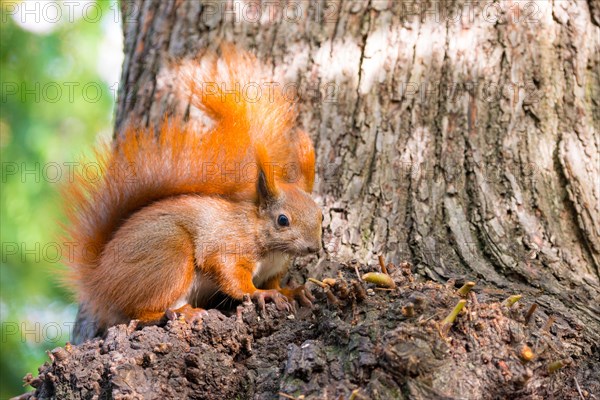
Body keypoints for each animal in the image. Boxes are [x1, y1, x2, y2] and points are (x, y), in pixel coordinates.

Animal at [62, 45, 322, 334]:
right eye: (282, 220)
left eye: (321, 215)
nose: (314, 248)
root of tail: (98, 283)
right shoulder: (228, 245)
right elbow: (232, 276)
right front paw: (261, 294)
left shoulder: (273, 270)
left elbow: (274, 283)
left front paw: (291, 291)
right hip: (169, 255)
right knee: (137, 313)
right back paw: (177, 312)